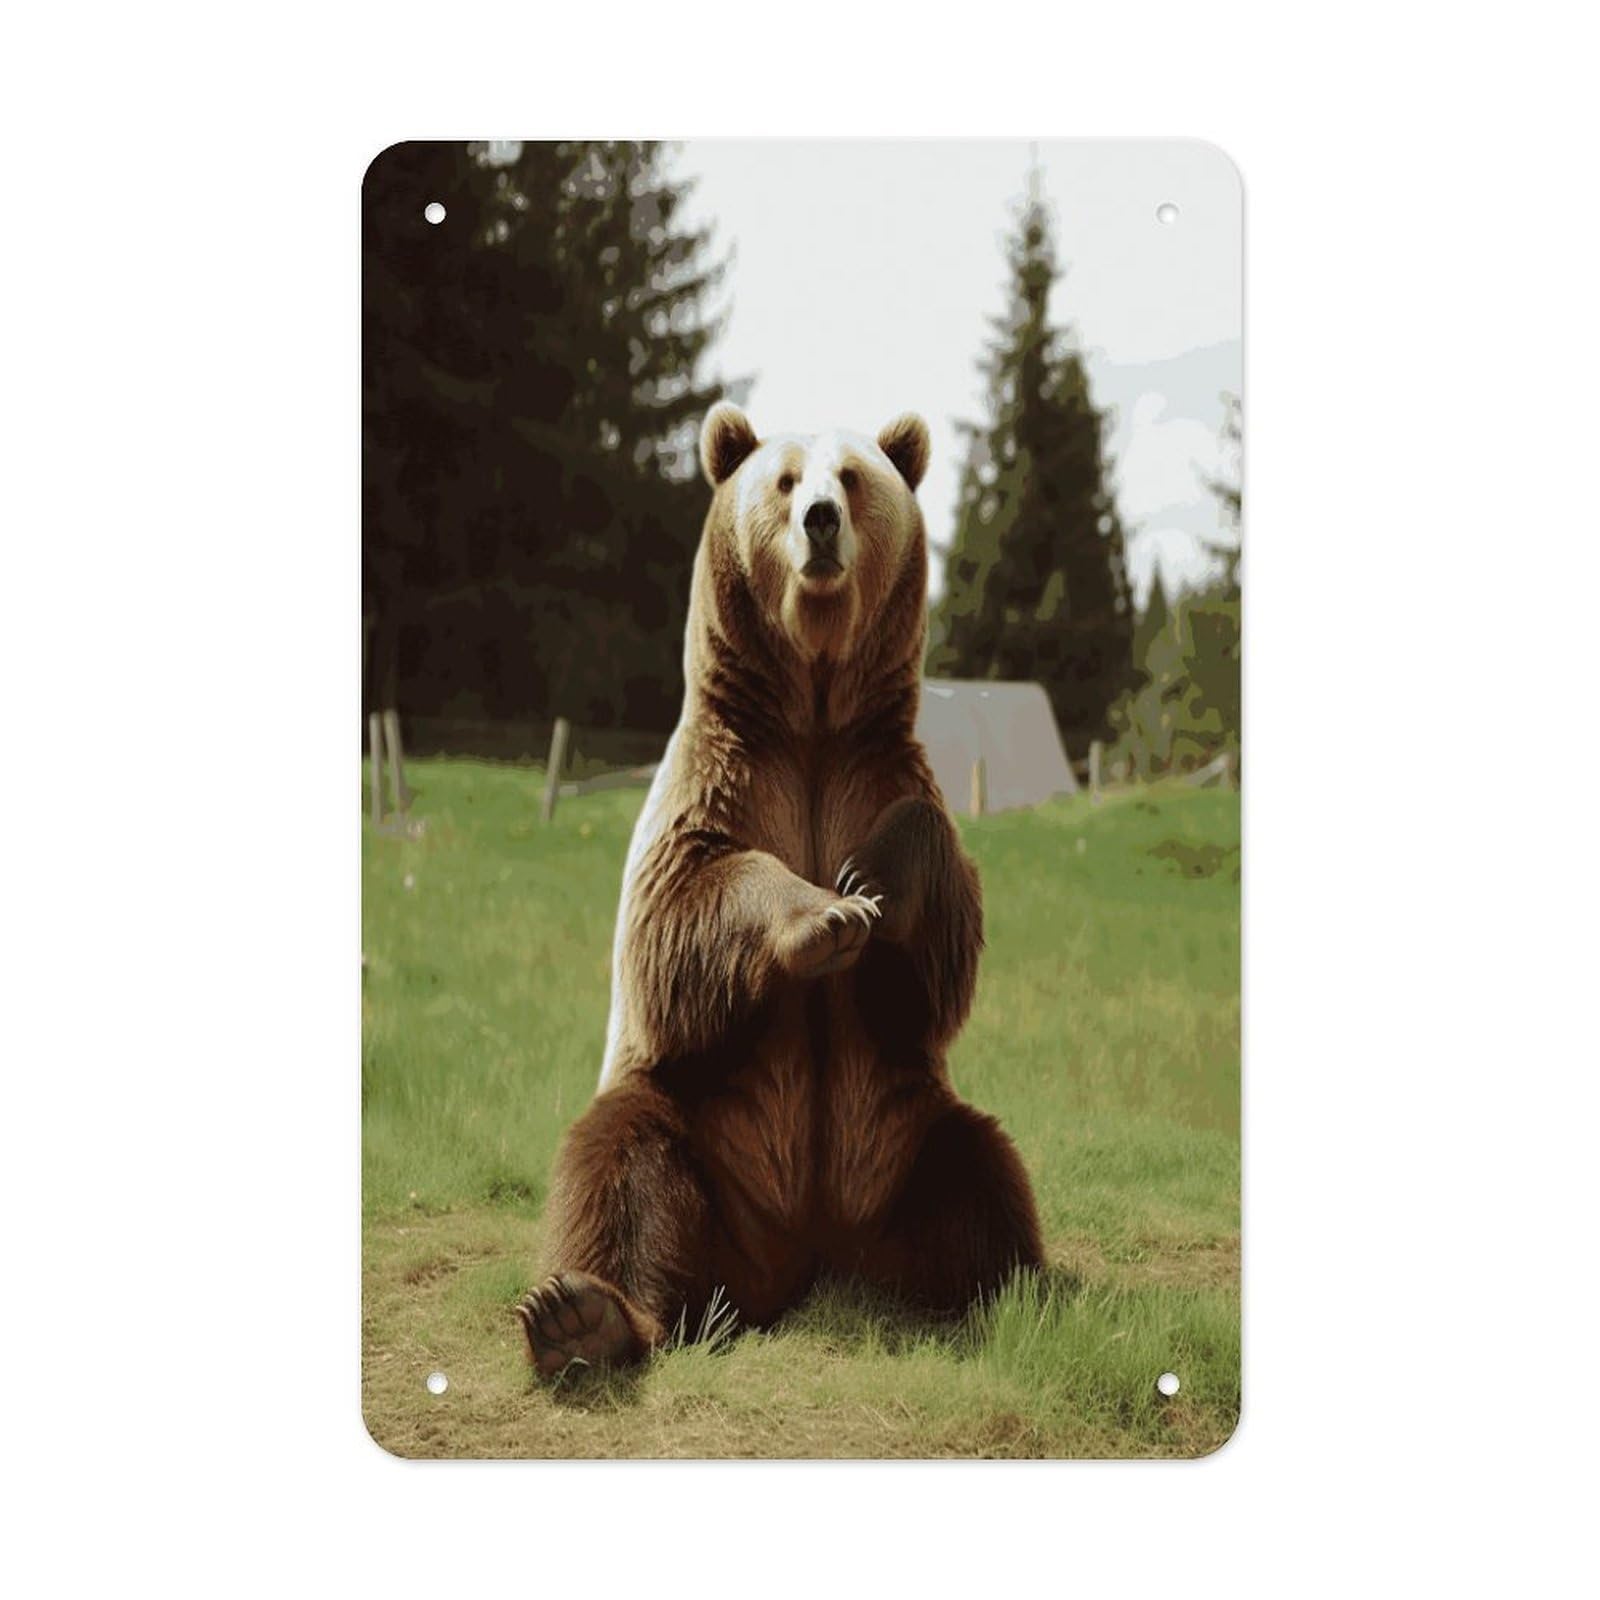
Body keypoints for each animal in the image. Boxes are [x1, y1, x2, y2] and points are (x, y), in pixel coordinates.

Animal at [515, 402, 1044, 1376]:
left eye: (856, 478)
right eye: (786, 480)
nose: (821, 522)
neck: (811, 715)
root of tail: (807, 1258)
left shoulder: (875, 770)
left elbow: (941, 942)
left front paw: (868, 877)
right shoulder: (723, 778)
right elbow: (681, 911)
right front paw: (828, 913)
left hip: (901, 1137)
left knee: (979, 1169)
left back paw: (1014, 1296)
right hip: (705, 1137)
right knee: (621, 1160)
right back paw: (582, 1316)